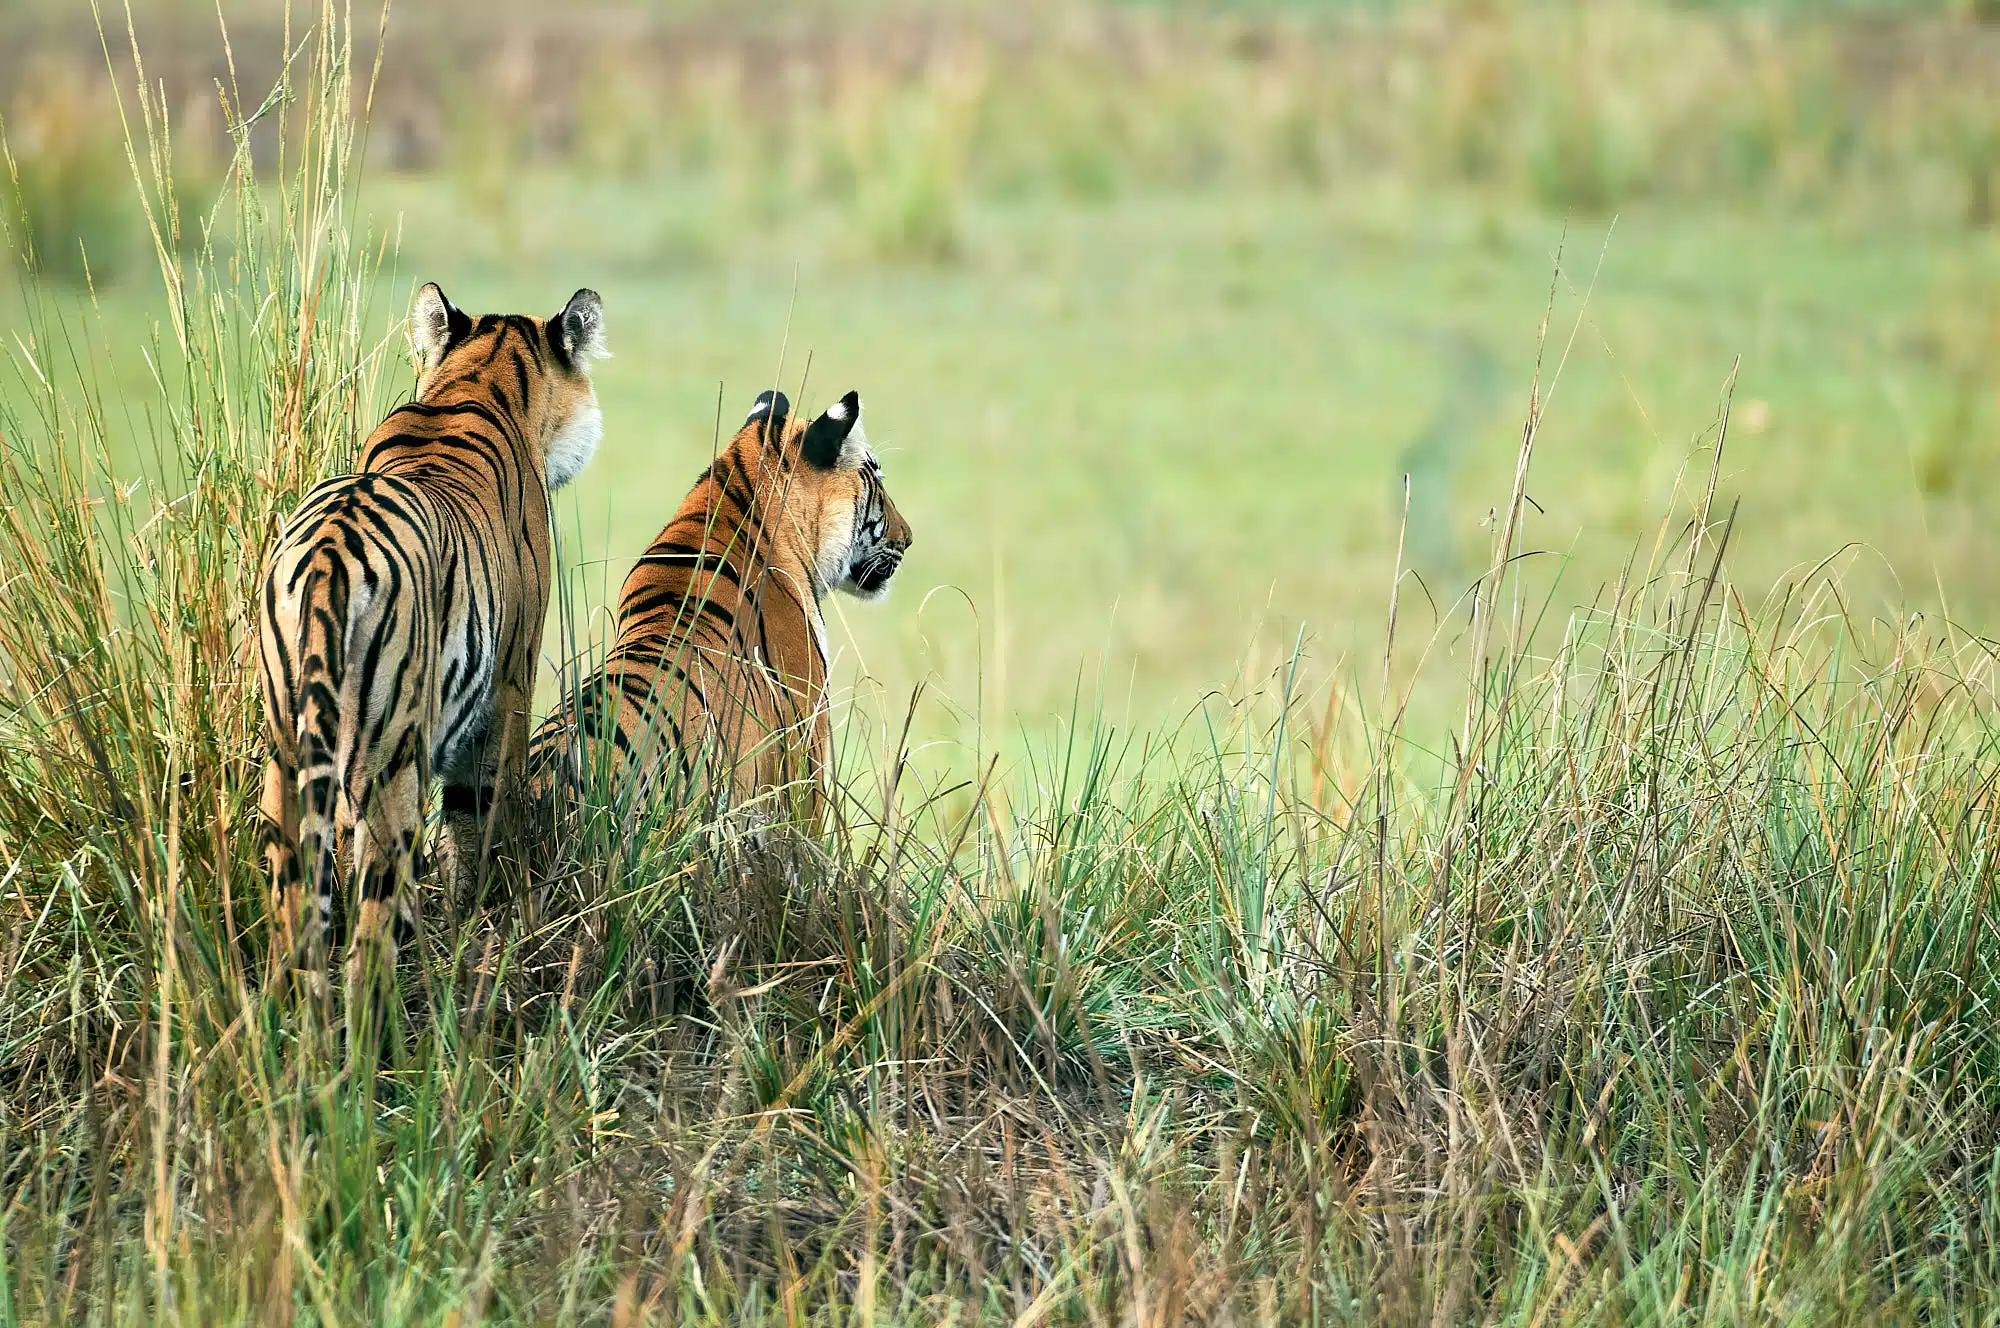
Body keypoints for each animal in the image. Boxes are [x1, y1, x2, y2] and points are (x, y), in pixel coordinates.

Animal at [256, 282, 609, 1000]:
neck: (479, 376)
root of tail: (330, 554)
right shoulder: (511, 681)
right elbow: (487, 817)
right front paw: (499, 918)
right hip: (391, 758)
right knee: (368, 946)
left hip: (283, 750)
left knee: (293, 923)